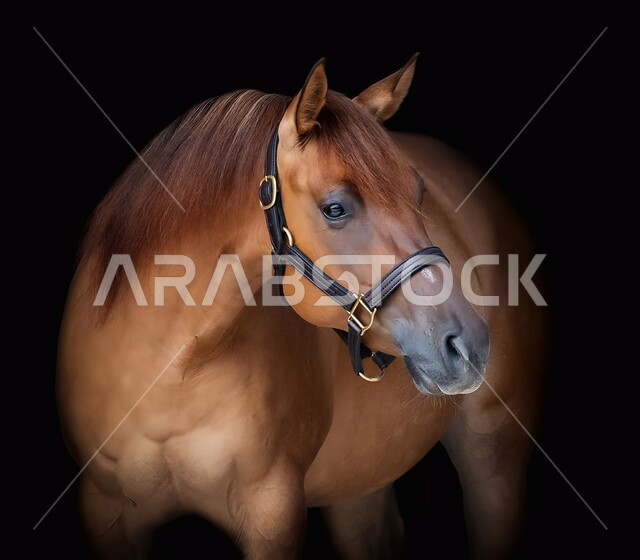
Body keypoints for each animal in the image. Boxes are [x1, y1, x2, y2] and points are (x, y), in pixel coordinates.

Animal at [57, 55, 547, 559]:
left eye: (419, 194)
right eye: (335, 208)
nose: (469, 343)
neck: (175, 369)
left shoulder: (273, 512)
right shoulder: (105, 511)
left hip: (495, 460)